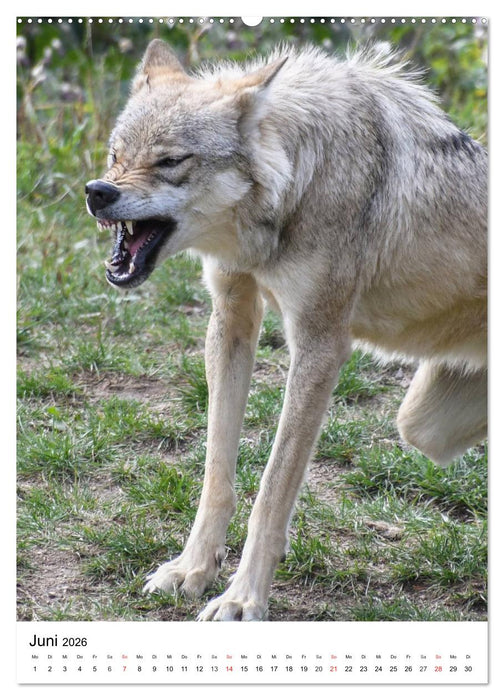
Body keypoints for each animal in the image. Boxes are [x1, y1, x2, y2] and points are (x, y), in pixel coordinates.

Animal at [85, 39, 487, 621]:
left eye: (170, 161)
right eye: (116, 154)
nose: (98, 192)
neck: (297, 183)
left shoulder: (320, 346)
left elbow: (273, 491)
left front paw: (241, 599)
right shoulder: (230, 319)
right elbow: (216, 473)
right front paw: (193, 569)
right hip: (423, 424)